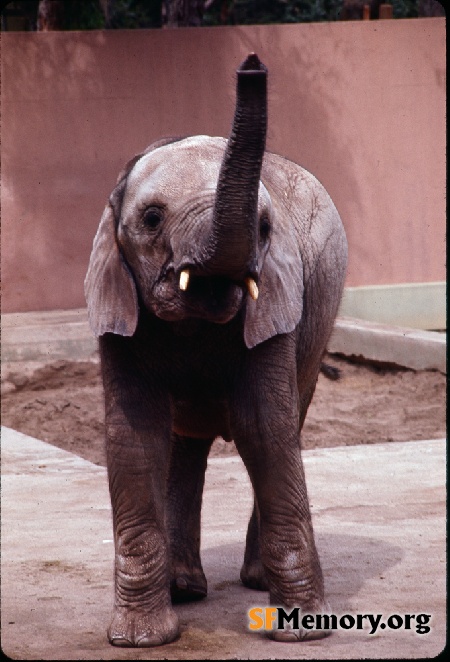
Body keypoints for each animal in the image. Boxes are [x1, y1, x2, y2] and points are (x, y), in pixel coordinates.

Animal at [86, 53, 350, 648]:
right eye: (152, 219)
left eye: (265, 228)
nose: (251, 64)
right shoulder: (116, 303)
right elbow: (134, 439)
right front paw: (140, 640)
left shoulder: (277, 306)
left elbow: (264, 430)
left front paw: (302, 632)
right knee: (183, 443)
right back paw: (184, 589)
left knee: (288, 418)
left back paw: (251, 582)